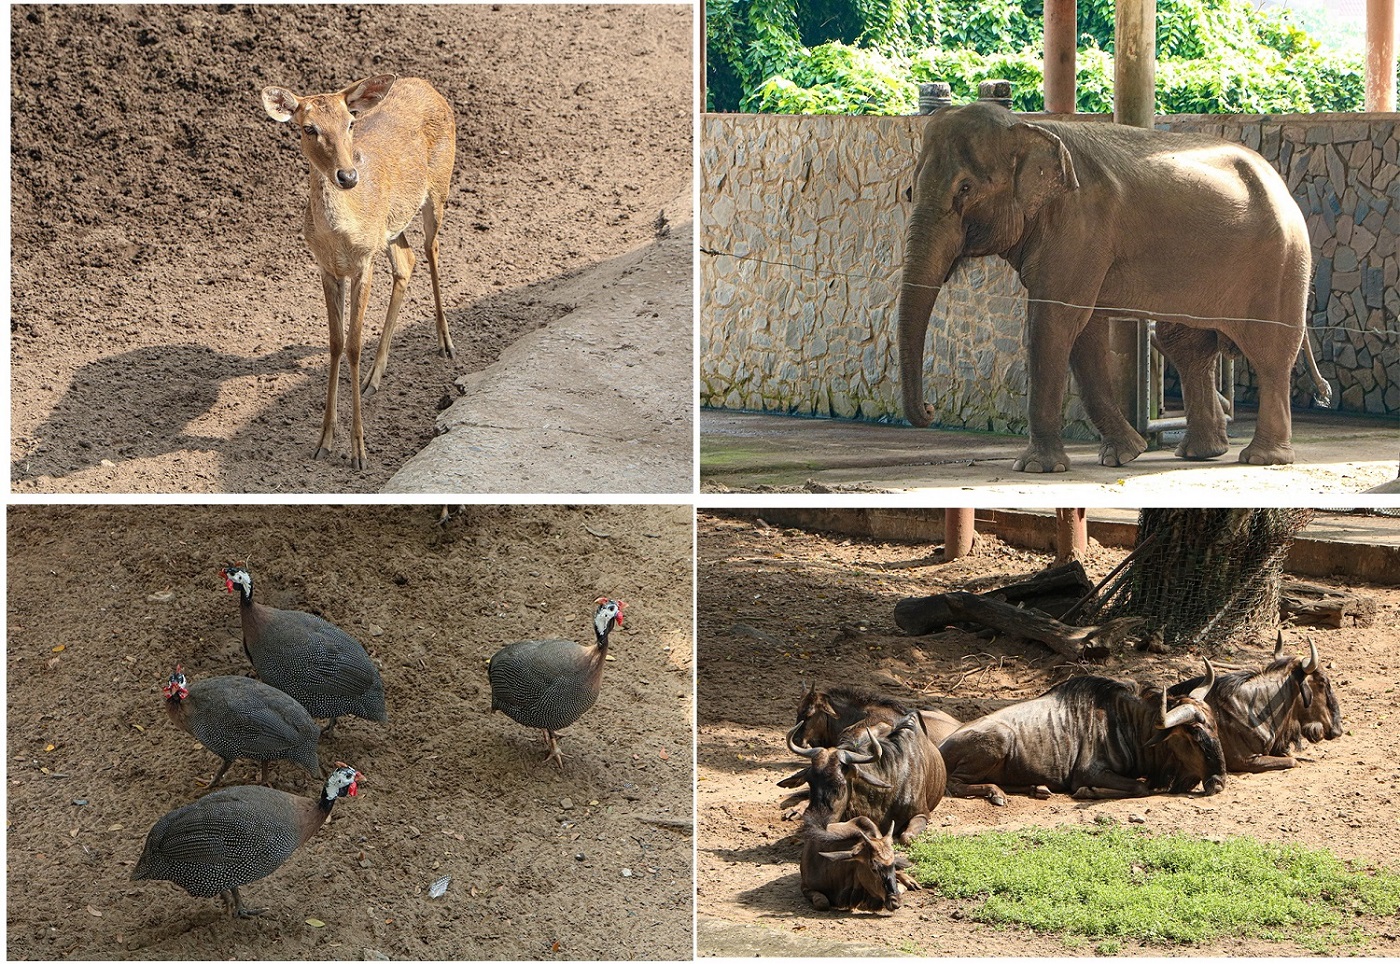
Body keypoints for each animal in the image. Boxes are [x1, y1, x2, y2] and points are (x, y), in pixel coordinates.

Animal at [261, 73, 453, 467]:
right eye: (308, 128)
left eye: (350, 122)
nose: (348, 176)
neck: (340, 235)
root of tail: (427, 85)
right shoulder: (327, 268)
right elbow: (335, 344)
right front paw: (323, 440)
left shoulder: (364, 264)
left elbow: (353, 346)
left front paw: (359, 451)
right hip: (391, 227)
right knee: (407, 261)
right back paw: (373, 378)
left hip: (438, 191)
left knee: (432, 249)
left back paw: (445, 343)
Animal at [901, 100, 1327, 470]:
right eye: (908, 191)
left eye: (965, 189)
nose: (930, 409)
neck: (1030, 128)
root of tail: (1282, 185)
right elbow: (1082, 330)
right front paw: (1124, 455)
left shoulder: (1080, 226)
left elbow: (1053, 322)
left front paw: (1038, 467)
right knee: (1186, 346)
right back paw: (1200, 453)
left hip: (1282, 260)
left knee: (1270, 352)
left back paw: (1262, 459)